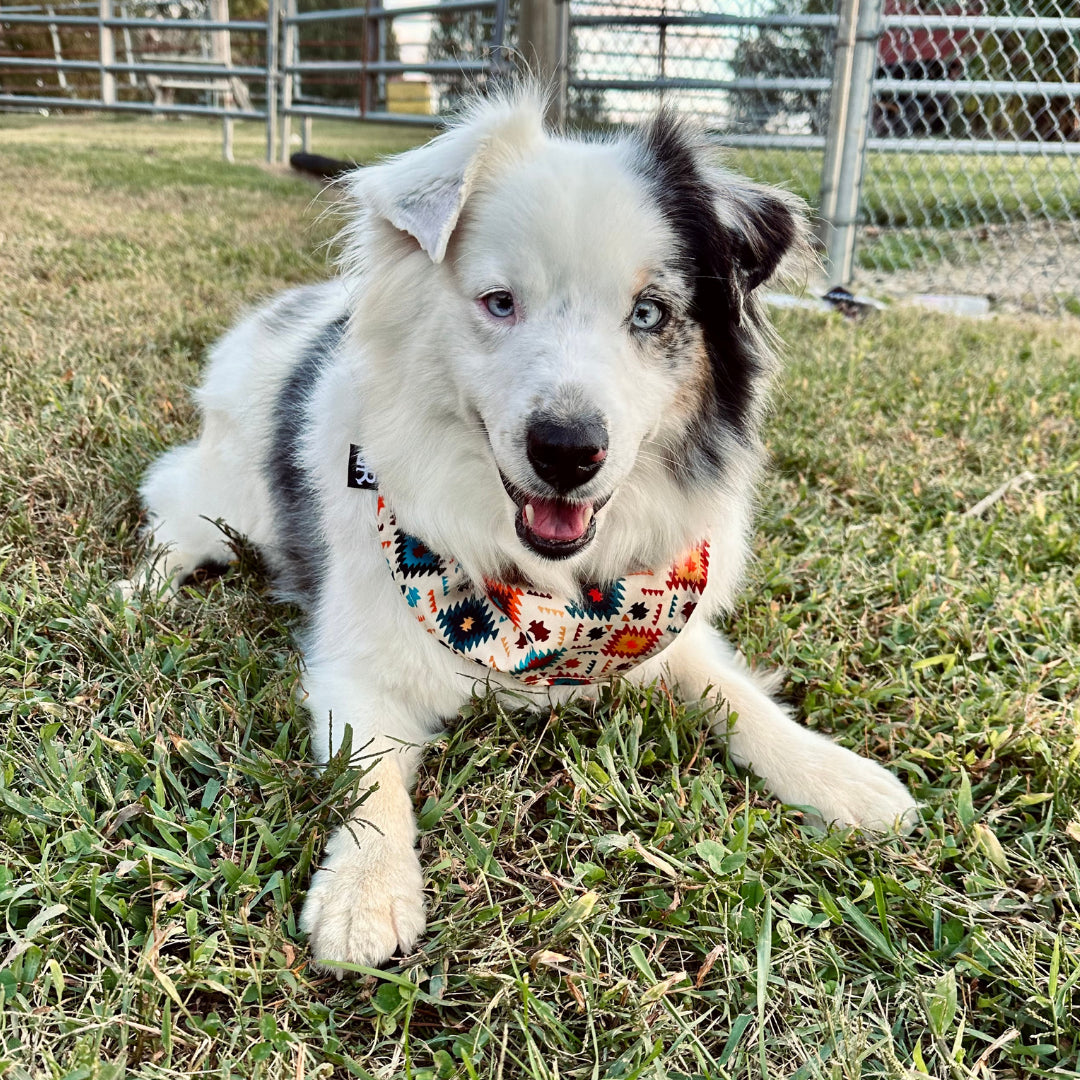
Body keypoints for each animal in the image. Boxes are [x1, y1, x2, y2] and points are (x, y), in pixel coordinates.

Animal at [128, 88, 920, 976]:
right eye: (500, 303)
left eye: (649, 313)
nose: (568, 451)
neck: (546, 604)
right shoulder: (353, 670)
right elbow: (373, 782)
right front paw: (365, 894)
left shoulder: (670, 628)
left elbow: (742, 699)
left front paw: (839, 777)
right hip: (230, 503)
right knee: (171, 516)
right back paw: (140, 594)